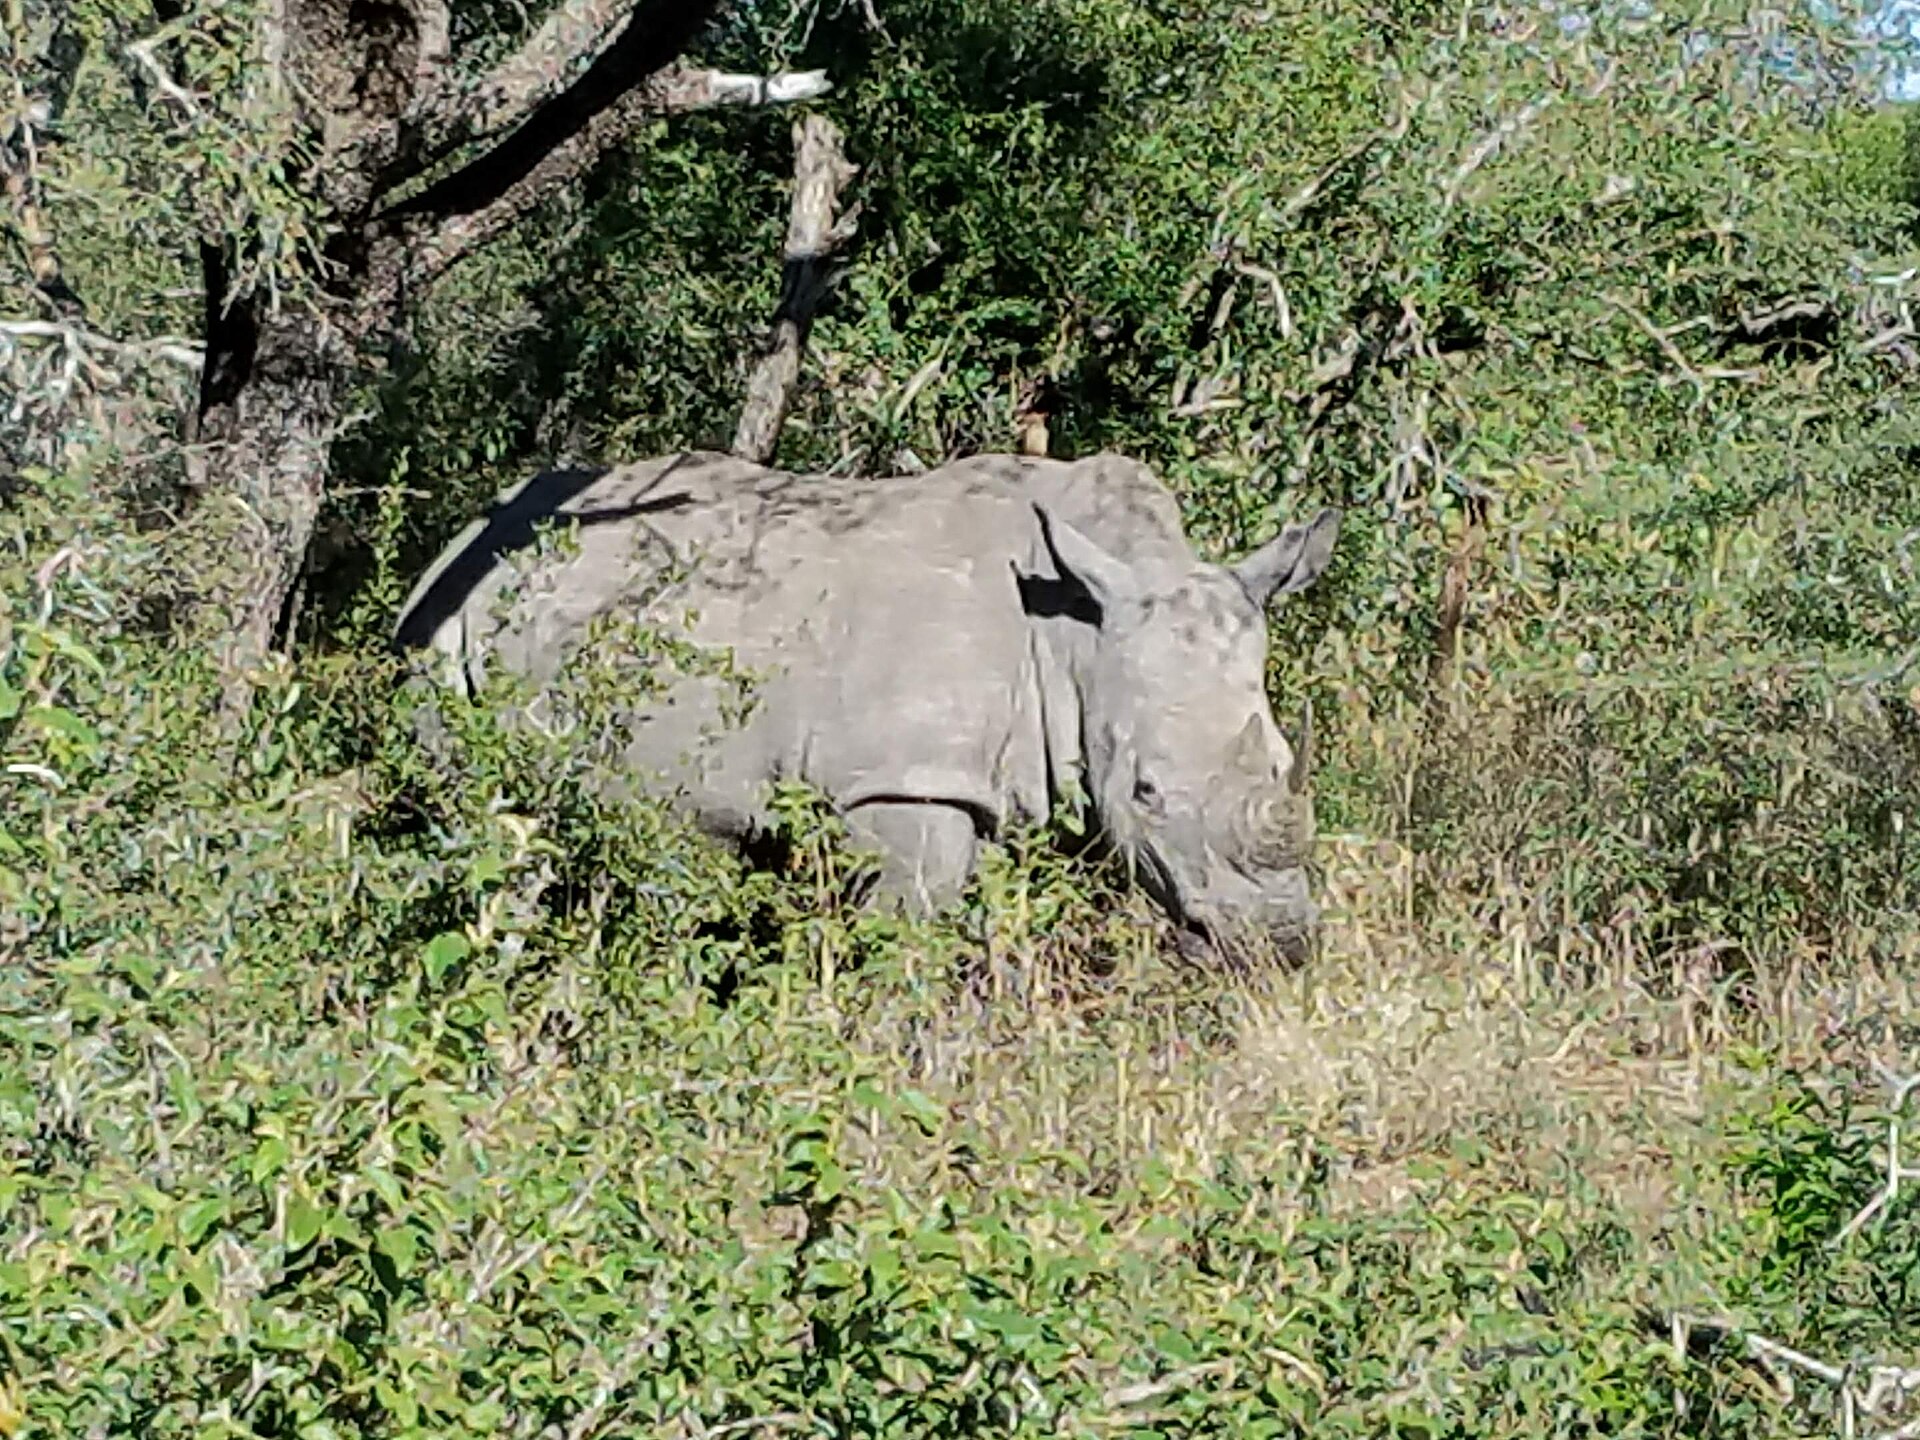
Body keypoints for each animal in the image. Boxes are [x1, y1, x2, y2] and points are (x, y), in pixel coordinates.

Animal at [393, 449, 1341, 962]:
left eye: (1283, 765)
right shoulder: (904, 779)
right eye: (1144, 792)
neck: (1077, 625)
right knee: (492, 831)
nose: (1280, 946)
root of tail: (457, 545)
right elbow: (910, 936)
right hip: (442, 641)